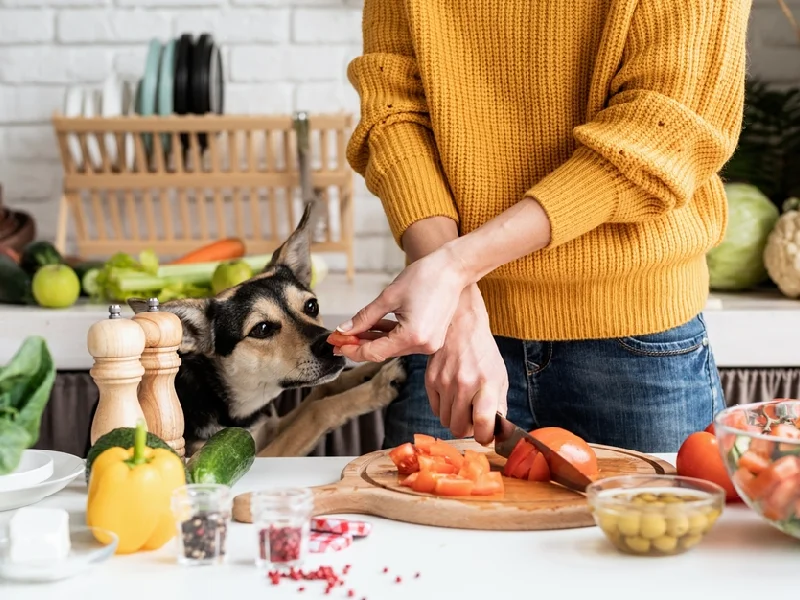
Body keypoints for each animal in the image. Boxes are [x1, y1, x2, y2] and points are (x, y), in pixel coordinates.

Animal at [129, 199, 410, 458]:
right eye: (261, 329)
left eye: (312, 306)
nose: (330, 345)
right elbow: (318, 411)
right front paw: (378, 387)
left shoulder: (269, 427)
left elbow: (323, 390)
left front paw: (370, 369)